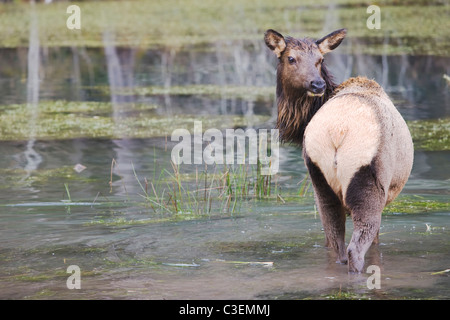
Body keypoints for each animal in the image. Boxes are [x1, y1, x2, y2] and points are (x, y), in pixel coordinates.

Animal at [264, 28, 414, 272]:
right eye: (291, 58)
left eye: (320, 59)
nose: (317, 85)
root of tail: (338, 130)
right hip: (369, 184)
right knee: (355, 249)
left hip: (320, 182)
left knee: (336, 243)